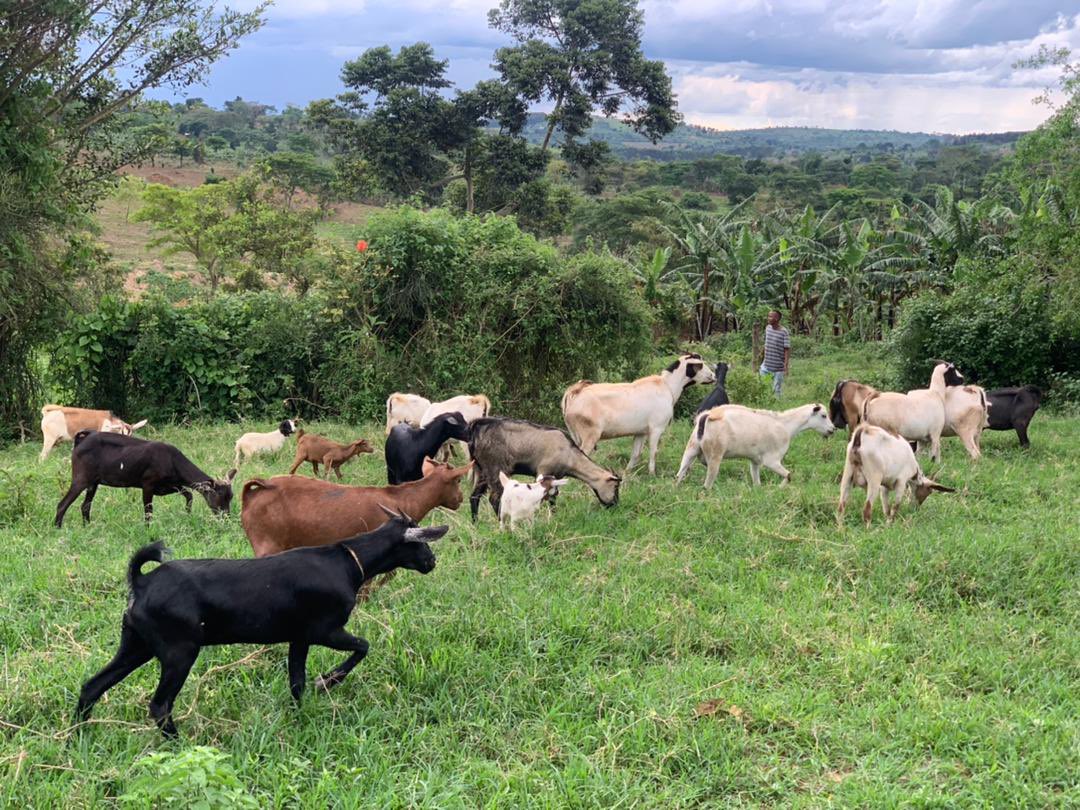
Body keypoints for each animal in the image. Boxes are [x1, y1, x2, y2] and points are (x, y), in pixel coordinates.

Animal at [55, 431, 235, 526]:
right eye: (219, 496)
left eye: (231, 496)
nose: (226, 517)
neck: (172, 461)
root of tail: (82, 439)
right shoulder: (148, 483)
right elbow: (148, 511)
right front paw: (148, 530)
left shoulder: (171, 485)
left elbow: (189, 495)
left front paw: (187, 514)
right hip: (81, 477)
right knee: (63, 504)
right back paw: (58, 528)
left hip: (94, 482)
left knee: (85, 506)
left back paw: (87, 526)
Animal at [74, 510, 448, 738]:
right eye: (420, 542)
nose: (432, 561)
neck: (347, 562)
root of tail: (142, 582)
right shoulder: (325, 630)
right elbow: (363, 647)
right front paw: (327, 682)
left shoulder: (299, 637)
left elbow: (296, 682)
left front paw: (302, 714)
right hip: (179, 651)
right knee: (159, 705)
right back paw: (180, 745)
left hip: (136, 645)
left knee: (92, 685)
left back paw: (77, 736)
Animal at [467, 417, 621, 520]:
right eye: (615, 486)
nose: (615, 504)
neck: (569, 453)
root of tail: (476, 429)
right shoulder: (543, 471)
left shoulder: (557, 476)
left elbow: (553, 496)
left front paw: (554, 515)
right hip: (495, 468)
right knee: (494, 498)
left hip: (481, 470)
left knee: (474, 496)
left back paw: (476, 523)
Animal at [562, 353, 715, 475]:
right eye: (700, 365)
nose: (713, 376)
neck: (667, 386)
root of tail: (575, 392)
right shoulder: (656, 429)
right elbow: (653, 452)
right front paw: (652, 474)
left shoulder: (640, 432)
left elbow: (636, 454)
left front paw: (627, 472)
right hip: (589, 434)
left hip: (575, 435)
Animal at [676, 403, 835, 487]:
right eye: (823, 415)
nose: (832, 429)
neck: (786, 425)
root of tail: (707, 415)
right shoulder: (772, 460)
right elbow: (789, 475)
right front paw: (779, 489)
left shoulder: (755, 461)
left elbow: (757, 482)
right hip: (715, 455)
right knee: (707, 484)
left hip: (691, 449)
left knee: (679, 475)